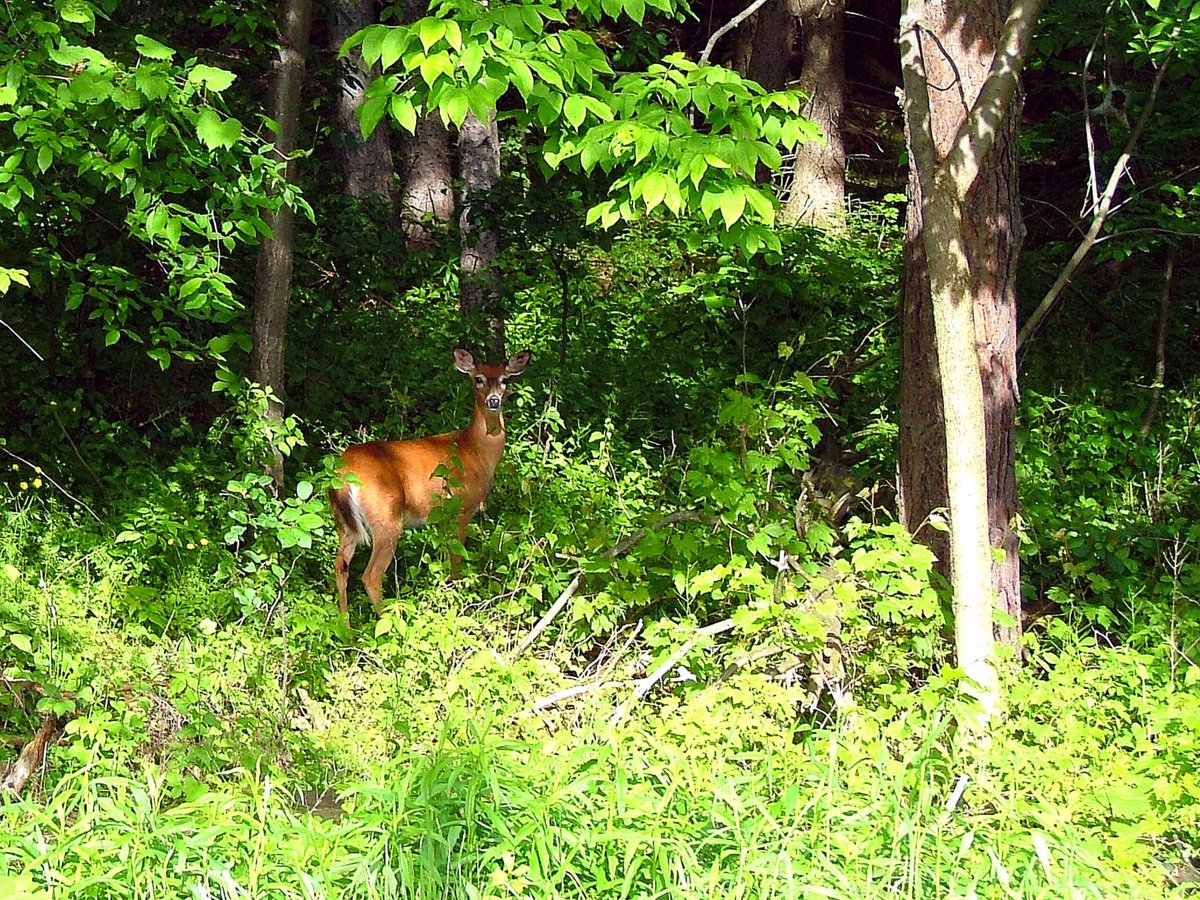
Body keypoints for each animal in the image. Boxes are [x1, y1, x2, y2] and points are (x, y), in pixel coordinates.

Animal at [331, 348, 532, 619]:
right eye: (478, 378)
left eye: (505, 380)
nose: (493, 401)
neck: (475, 450)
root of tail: (345, 472)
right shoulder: (461, 507)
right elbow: (456, 560)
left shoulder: (439, 518)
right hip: (386, 517)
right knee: (371, 576)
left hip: (345, 524)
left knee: (340, 566)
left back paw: (345, 625)